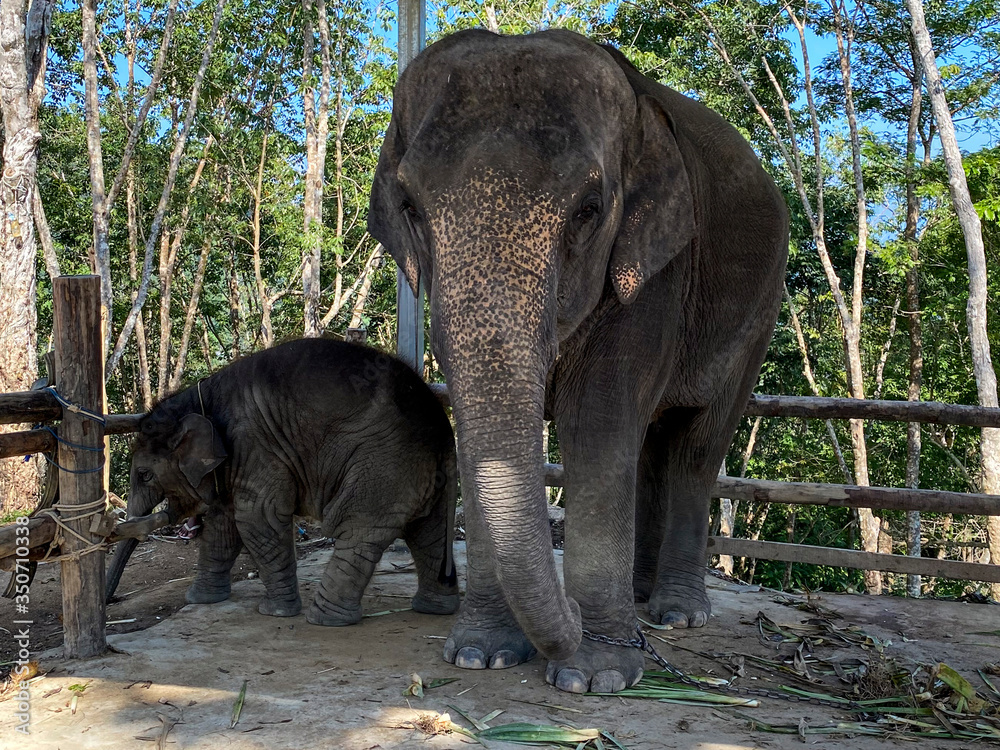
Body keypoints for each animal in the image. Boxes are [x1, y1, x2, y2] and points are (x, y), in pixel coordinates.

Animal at [105, 338, 460, 626]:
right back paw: (434, 609)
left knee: (356, 528)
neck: (199, 397)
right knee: (430, 532)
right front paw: (199, 600)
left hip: (382, 466)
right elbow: (224, 523)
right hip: (423, 475)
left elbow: (256, 518)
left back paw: (323, 619)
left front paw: (274, 612)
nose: (111, 601)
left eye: (144, 474)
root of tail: (443, 430)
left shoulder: (254, 447)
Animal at [368, 29, 788, 693]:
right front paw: (481, 655)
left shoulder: (657, 267)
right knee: (651, 446)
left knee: (697, 445)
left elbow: (597, 419)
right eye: (409, 206)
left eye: (589, 209)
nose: (565, 610)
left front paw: (596, 675)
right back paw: (640, 599)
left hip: (760, 312)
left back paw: (677, 615)